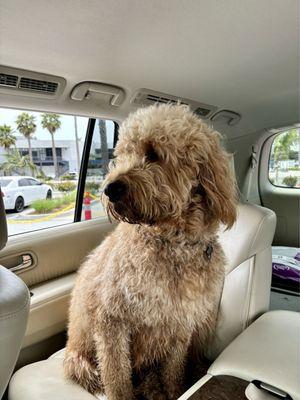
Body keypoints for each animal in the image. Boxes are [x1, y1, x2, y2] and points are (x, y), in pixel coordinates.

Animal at [64, 104, 238, 398]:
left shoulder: (181, 322)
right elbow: (117, 376)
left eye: (154, 153)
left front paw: (174, 390)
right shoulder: (110, 319)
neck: (172, 241)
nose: (109, 189)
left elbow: (174, 369)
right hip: (82, 363)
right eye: (121, 155)